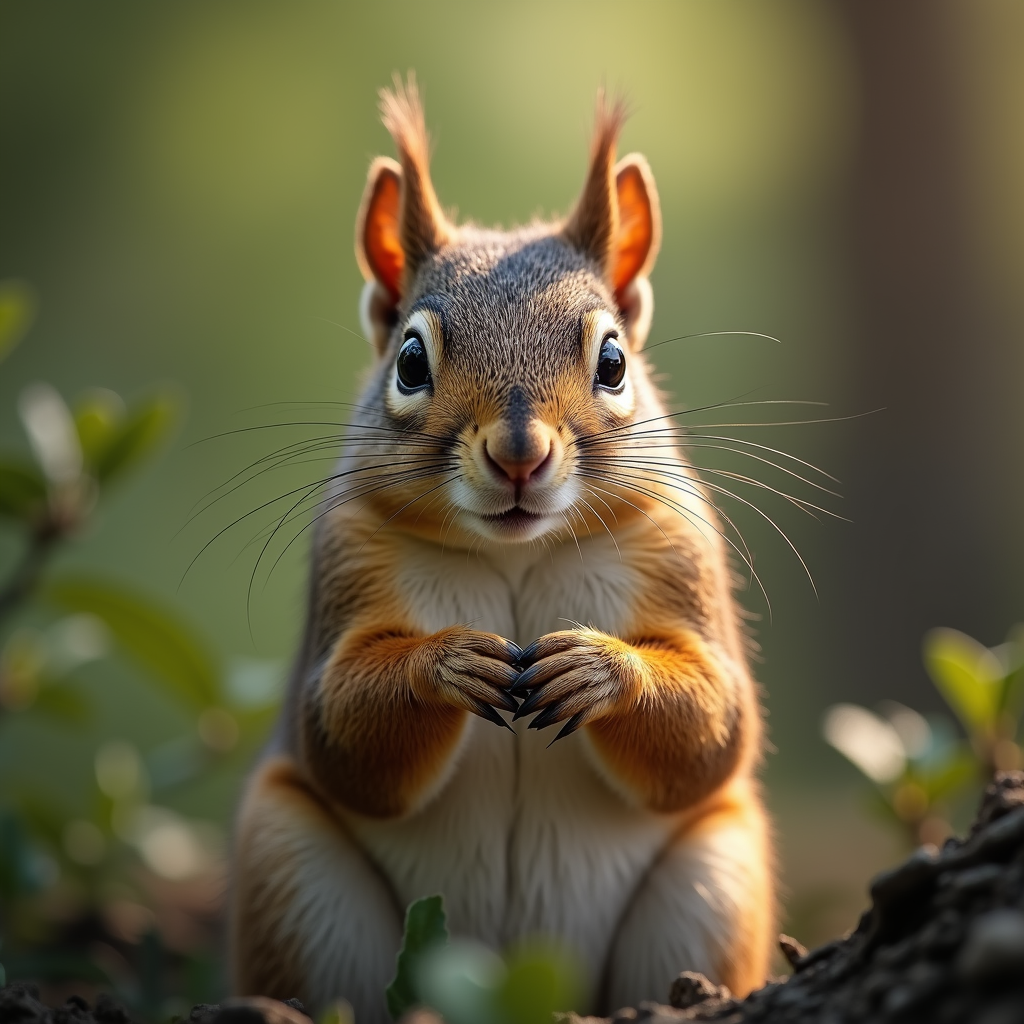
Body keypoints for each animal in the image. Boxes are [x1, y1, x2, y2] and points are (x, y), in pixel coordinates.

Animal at [229, 77, 774, 1020]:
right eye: (410, 360)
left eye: (614, 360)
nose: (520, 453)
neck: (518, 554)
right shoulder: (348, 562)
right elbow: (339, 729)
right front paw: (446, 661)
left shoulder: (683, 557)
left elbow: (715, 724)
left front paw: (599, 668)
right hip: (286, 864)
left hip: (714, 878)